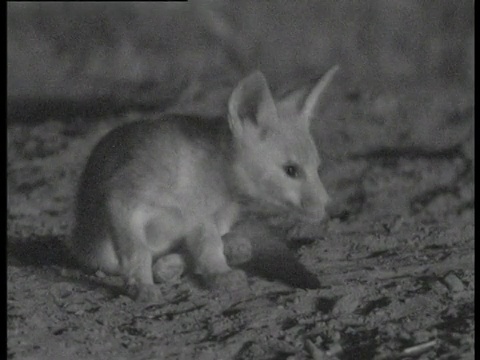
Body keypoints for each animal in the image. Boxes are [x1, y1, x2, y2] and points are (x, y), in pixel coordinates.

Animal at [69, 67, 338, 300]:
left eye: (317, 168)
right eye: (291, 170)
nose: (327, 205)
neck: (198, 174)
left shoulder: (200, 217)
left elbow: (208, 248)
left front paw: (219, 273)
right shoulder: (123, 200)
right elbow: (139, 252)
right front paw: (142, 286)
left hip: (224, 216)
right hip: (99, 253)